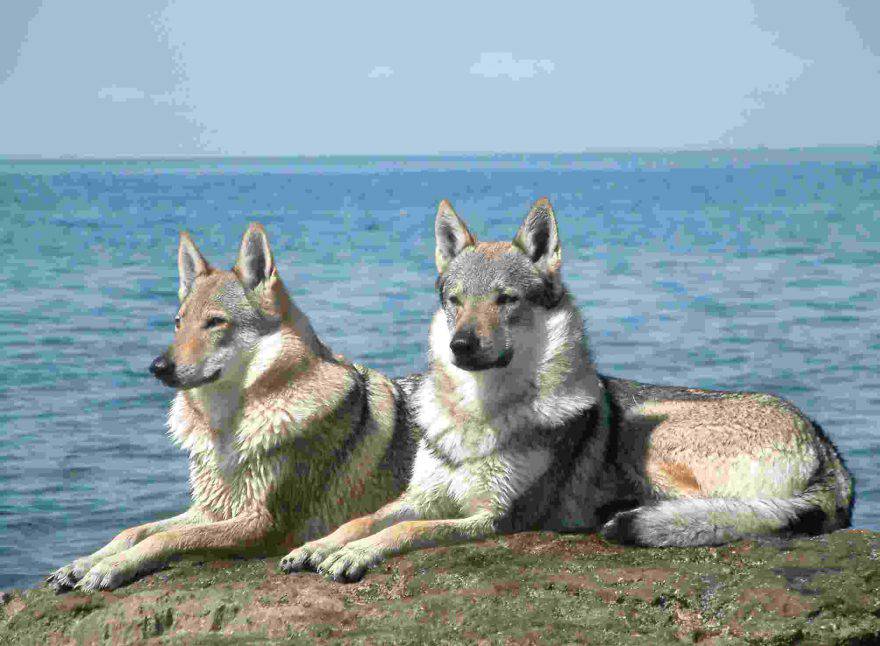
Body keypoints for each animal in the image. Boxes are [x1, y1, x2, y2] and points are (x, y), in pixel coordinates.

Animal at [47, 224, 420, 591]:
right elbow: (134, 530)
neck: (226, 428)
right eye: (178, 323)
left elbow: (165, 538)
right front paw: (82, 564)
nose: (157, 366)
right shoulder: (212, 509)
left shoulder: (264, 524)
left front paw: (110, 567)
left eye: (215, 322)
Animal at [282, 198, 854, 583]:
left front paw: (353, 555)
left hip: (650, 437)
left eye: (506, 300)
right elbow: (366, 518)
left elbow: (405, 532)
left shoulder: (494, 518)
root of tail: (829, 449)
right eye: (454, 300)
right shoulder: (422, 495)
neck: (481, 413)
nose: (460, 345)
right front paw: (322, 545)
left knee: (733, 513)